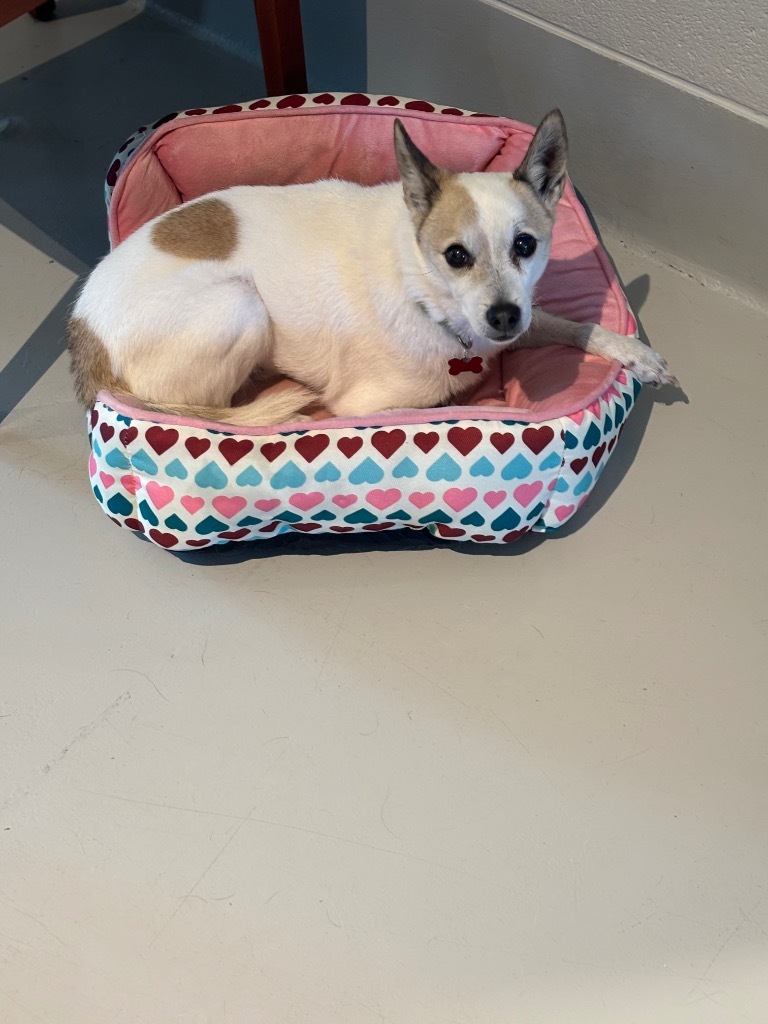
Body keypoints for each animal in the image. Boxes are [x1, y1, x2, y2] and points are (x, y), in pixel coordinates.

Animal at [67, 113, 679, 428]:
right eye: (456, 255)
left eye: (525, 245)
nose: (503, 317)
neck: (423, 293)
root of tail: (83, 334)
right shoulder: (369, 403)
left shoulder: (520, 319)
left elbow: (571, 324)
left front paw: (635, 353)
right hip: (239, 305)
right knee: (217, 411)